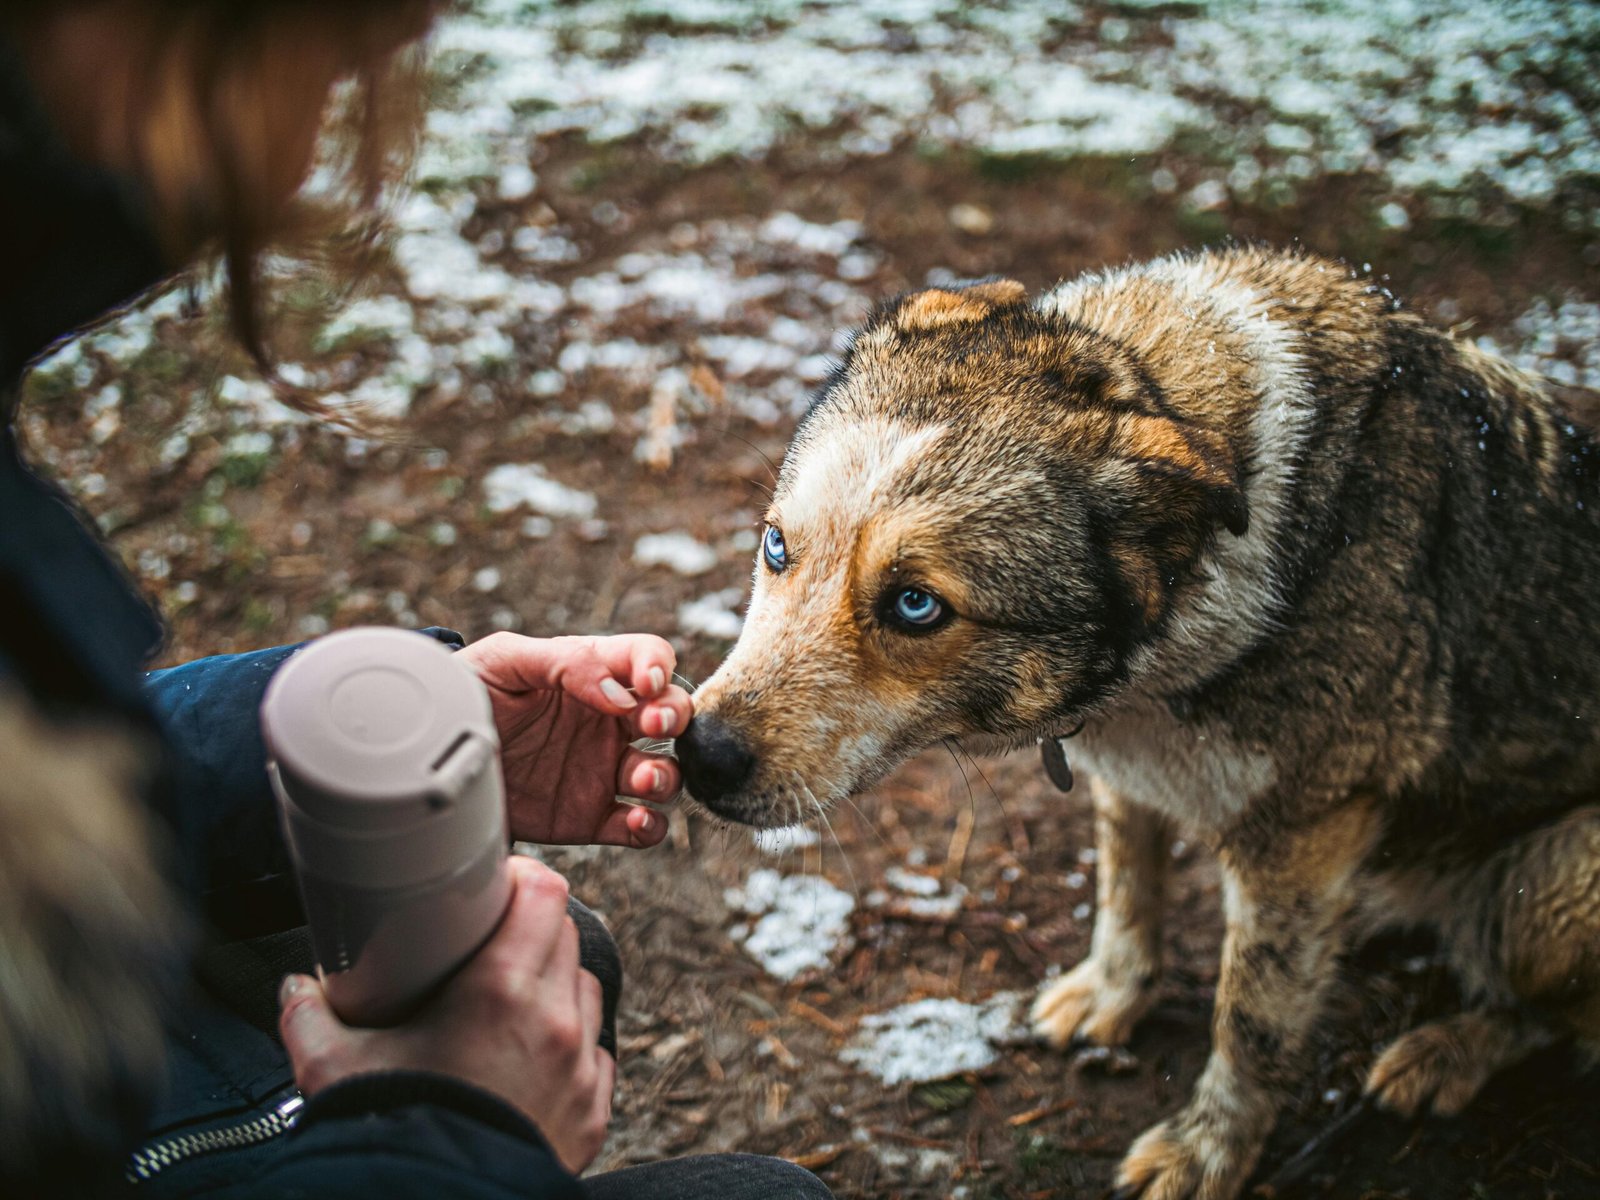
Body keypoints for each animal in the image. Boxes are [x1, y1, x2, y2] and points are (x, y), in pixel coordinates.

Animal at [675, 246, 1600, 1200]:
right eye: (776, 547)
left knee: (1550, 1020)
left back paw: (1444, 1051)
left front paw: (1207, 1152)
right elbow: (1127, 893)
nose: (697, 755)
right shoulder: (1128, 776)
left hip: (1553, 891)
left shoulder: (1302, 834)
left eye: (915, 605)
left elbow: (1252, 1021)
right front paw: (1112, 997)